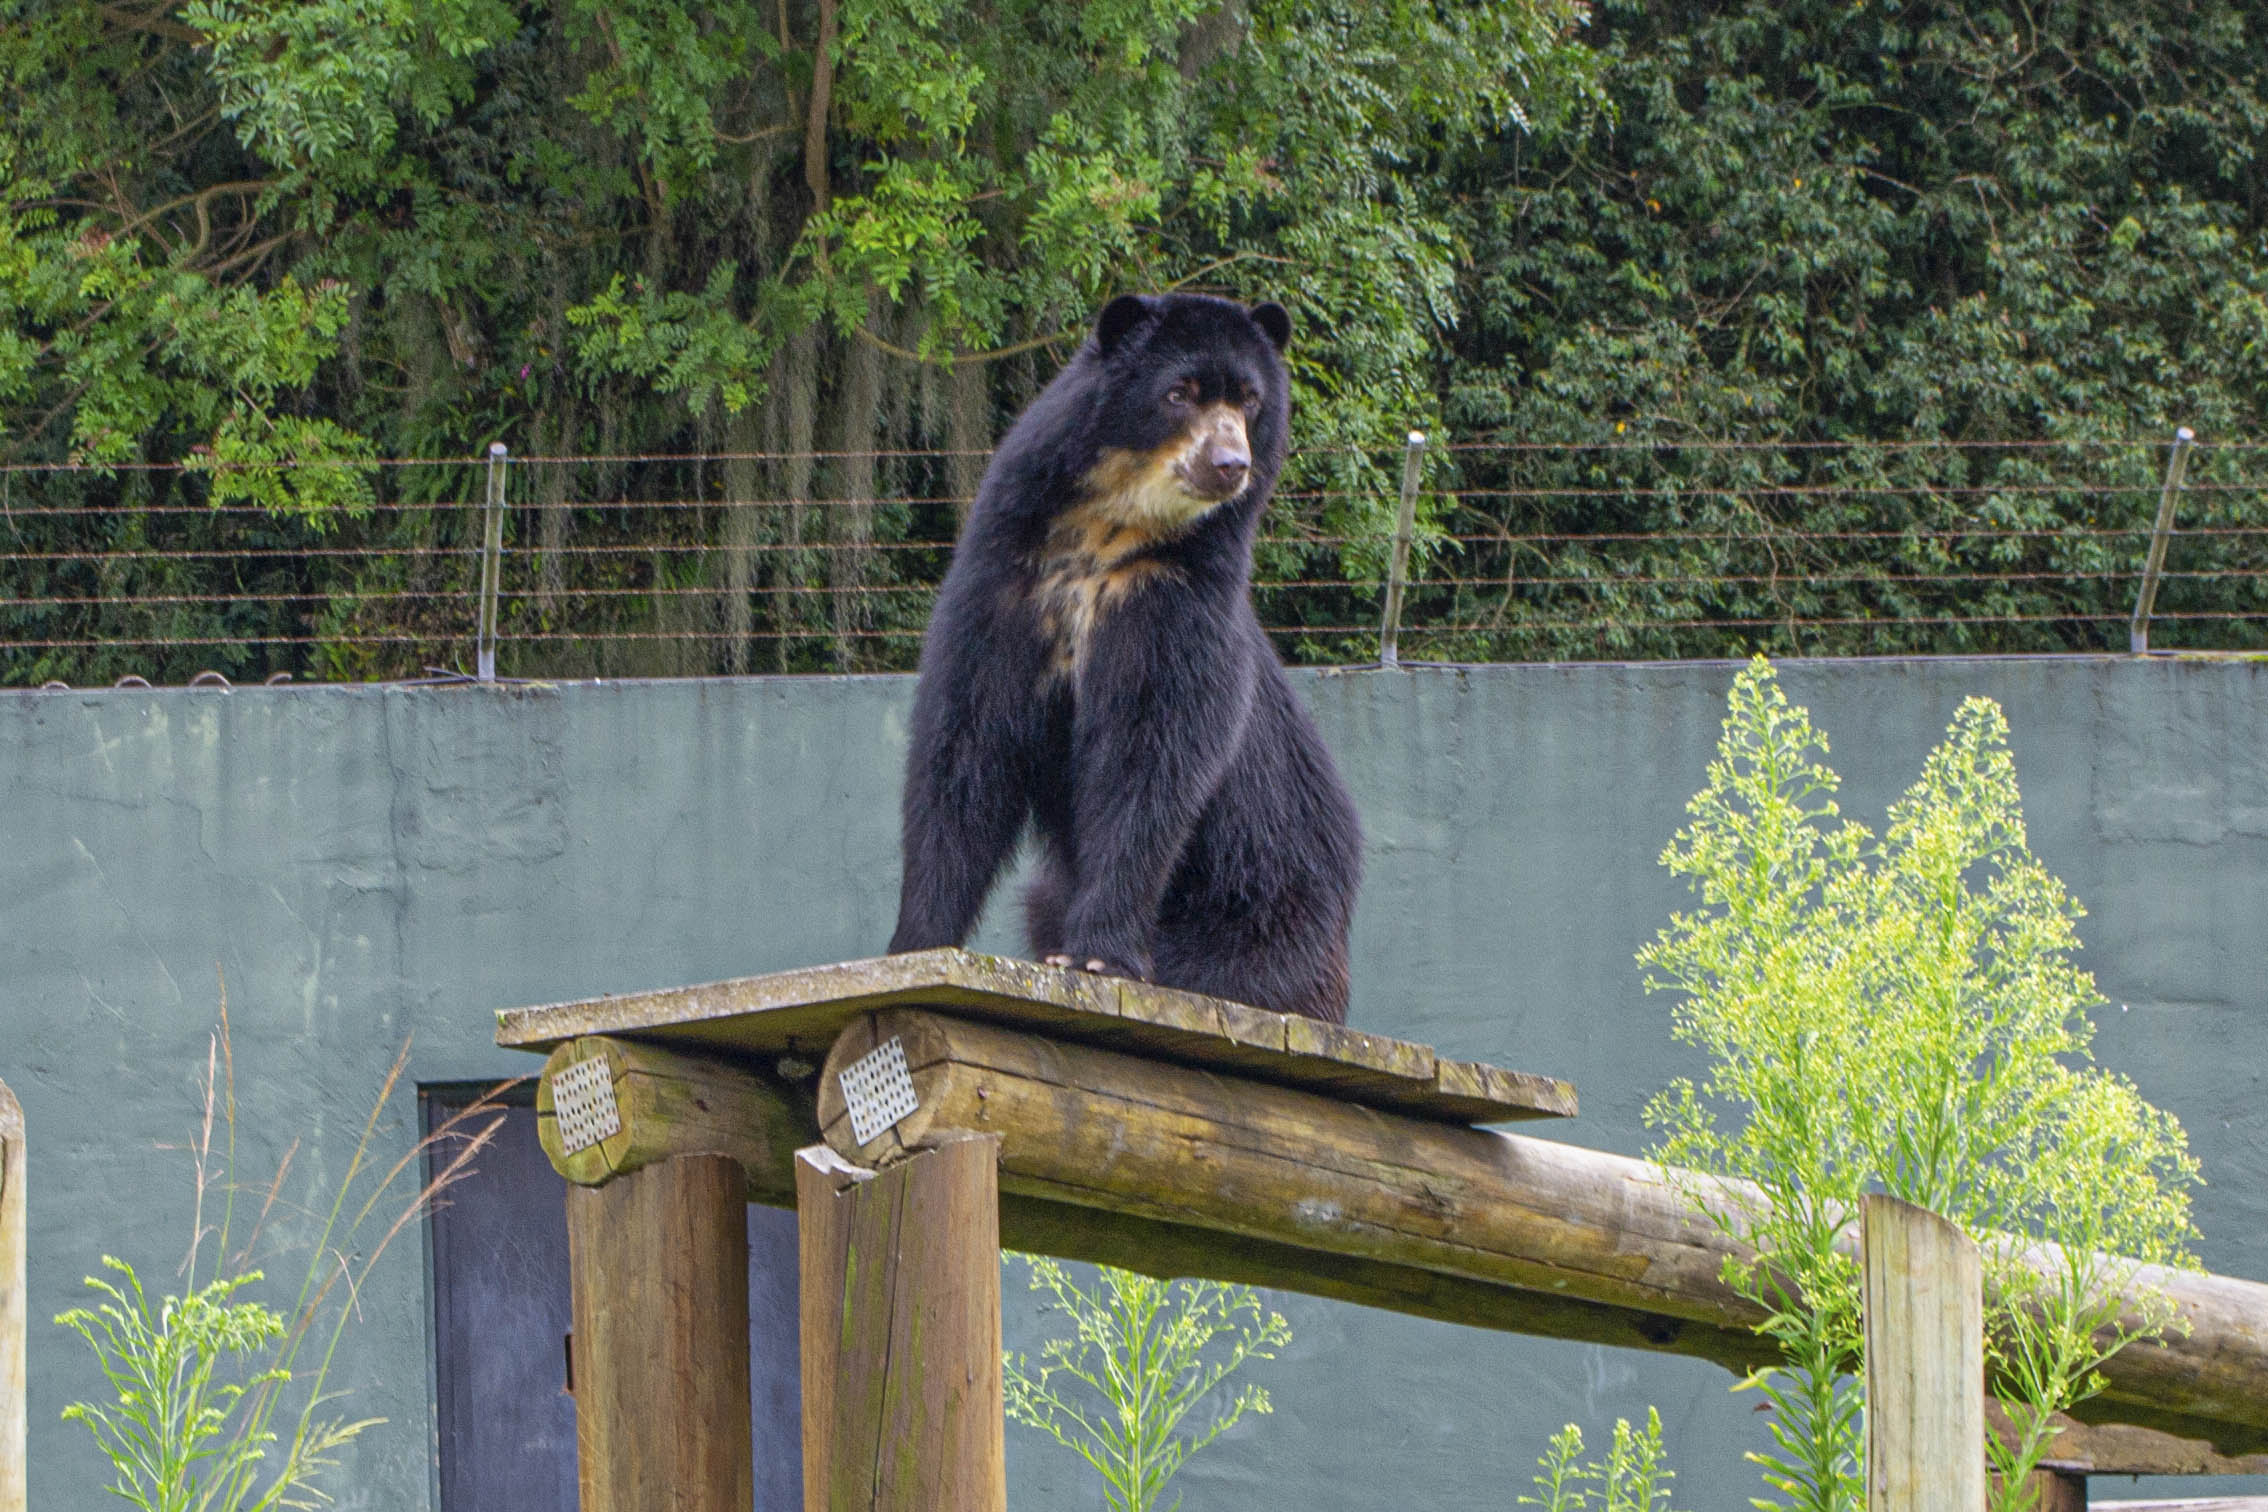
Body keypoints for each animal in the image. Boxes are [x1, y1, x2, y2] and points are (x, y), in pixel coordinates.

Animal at [886, 292, 1363, 1024]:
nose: (1230, 464)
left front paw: (1099, 957)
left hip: (1262, 915)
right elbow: (963, 750)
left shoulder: (1175, 599)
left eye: (1250, 399)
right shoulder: (1003, 588)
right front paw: (913, 946)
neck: (1110, 532)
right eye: (1180, 392)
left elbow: (1151, 755)